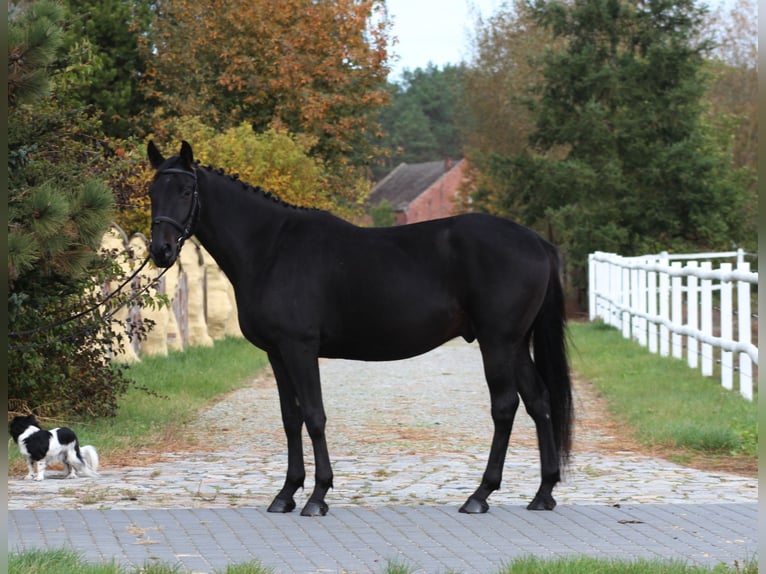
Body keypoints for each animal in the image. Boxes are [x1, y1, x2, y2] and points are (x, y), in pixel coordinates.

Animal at [147, 143, 572, 516]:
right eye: (152, 191)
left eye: (186, 190)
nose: (161, 251)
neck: (271, 248)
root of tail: (536, 241)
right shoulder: (276, 353)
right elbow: (291, 418)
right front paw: (286, 494)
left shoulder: (300, 348)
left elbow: (314, 415)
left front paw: (318, 496)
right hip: (515, 345)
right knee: (539, 401)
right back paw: (543, 492)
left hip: (497, 342)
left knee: (505, 406)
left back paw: (480, 495)